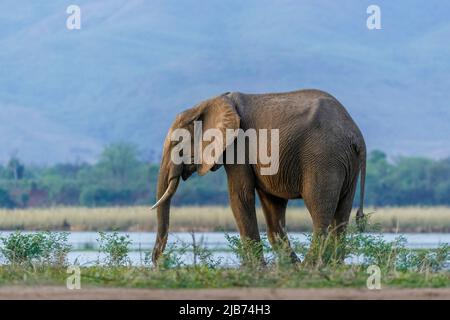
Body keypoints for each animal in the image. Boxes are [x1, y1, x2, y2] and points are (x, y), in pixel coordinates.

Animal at [151, 89, 366, 264]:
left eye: (176, 142)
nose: (157, 262)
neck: (207, 104)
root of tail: (357, 135)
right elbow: (272, 206)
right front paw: (289, 266)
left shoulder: (239, 145)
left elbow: (240, 196)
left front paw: (257, 269)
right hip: (346, 163)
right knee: (341, 214)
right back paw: (331, 266)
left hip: (324, 158)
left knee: (319, 210)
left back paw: (311, 266)